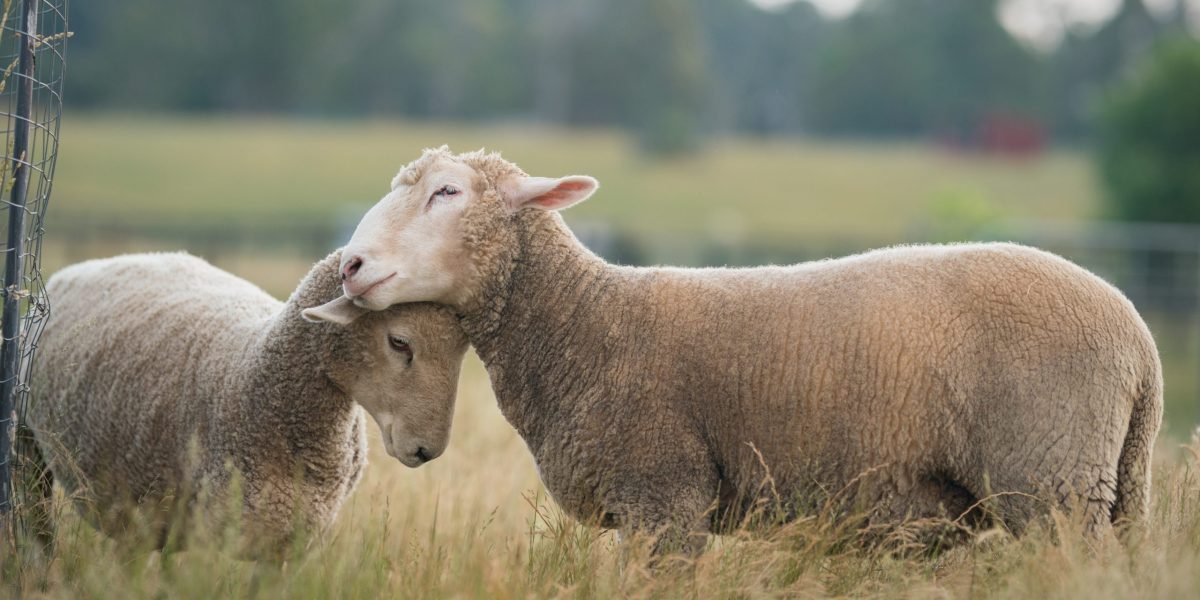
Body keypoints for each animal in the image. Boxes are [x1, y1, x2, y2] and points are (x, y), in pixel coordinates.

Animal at [22, 250, 468, 556]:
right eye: (399, 341)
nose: (427, 449)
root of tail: (82, 267)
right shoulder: (216, 539)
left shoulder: (291, 545)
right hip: (31, 454)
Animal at [313, 146, 1163, 555]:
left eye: (448, 193)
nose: (351, 265)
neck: (584, 323)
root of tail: (1140, 340)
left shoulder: (666, 497)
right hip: (1110, 485)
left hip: (1050, 482)